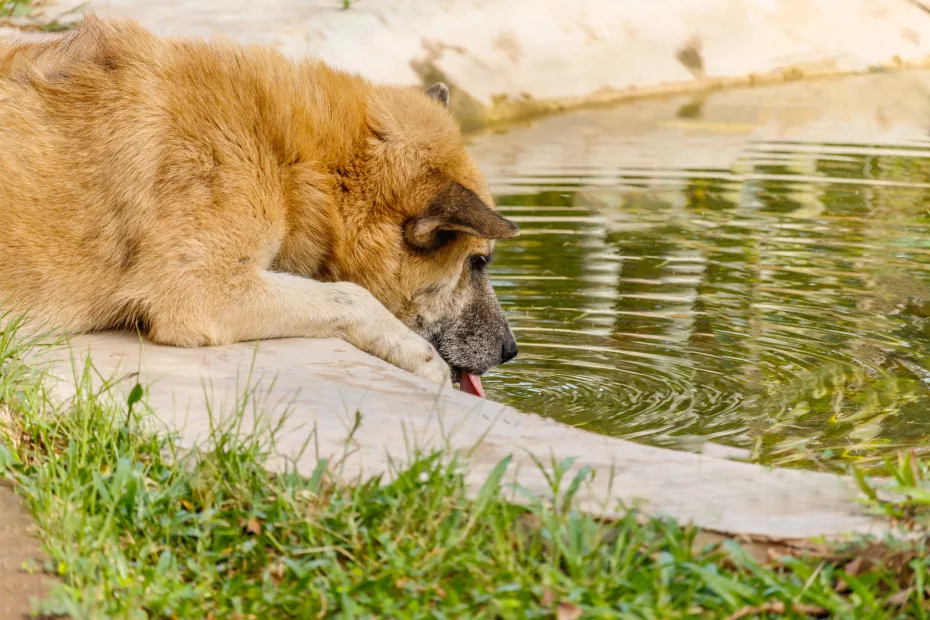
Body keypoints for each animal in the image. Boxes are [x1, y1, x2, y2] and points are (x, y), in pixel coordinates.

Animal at [0, 15, 520, 388]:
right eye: (479, 262)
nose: (512, 351)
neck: (290, 160)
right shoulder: (201, 289)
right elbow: (351, 296)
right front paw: (418, 356)